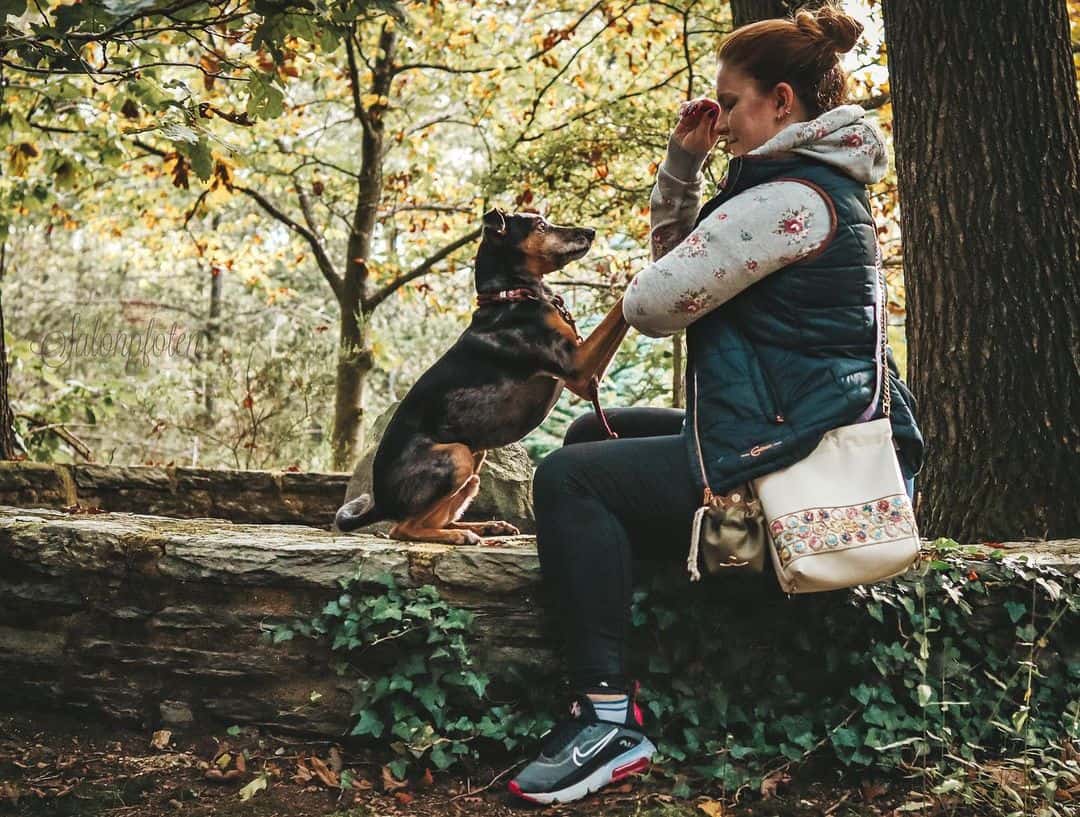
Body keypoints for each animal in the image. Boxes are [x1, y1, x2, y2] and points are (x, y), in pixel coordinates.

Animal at [332, 207, 630, 544]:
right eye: (541, 226)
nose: (591, 231)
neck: (512, 295)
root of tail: (380, 503)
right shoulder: (578, 367)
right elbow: (619, 307)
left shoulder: (583, 371)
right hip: (457, 456)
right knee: (403, 529)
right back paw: (461, 536)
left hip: (474, 464)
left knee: (435, 519)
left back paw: (487, 527)